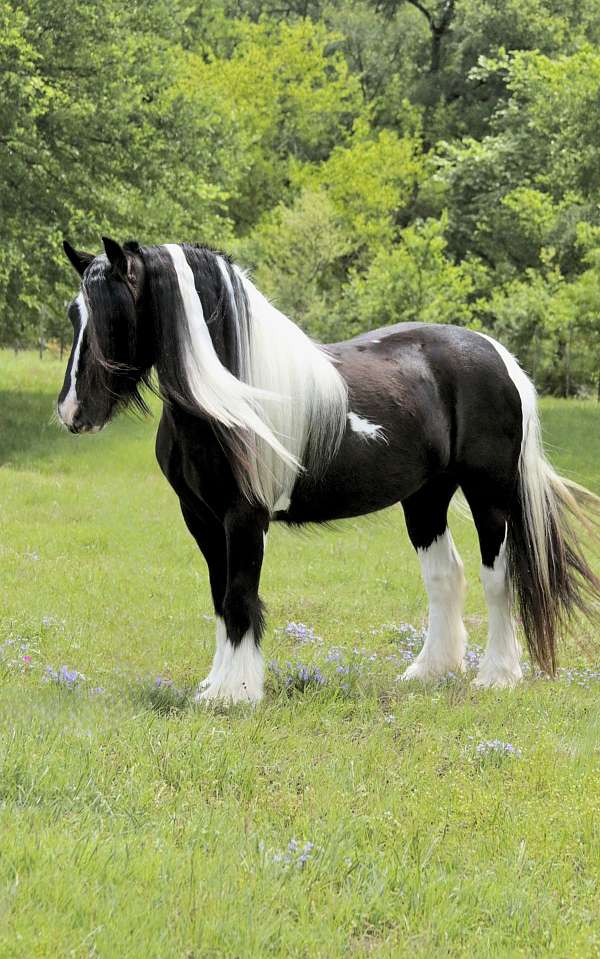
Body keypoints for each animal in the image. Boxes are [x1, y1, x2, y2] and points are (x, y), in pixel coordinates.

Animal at [57, 236, 600, 703]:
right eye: (73, 313)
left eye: (116, 316)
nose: (72, 412)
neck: (230, 399)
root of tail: (497, 355)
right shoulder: (202, 519)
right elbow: (220, 597)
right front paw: (216, 686)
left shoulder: (245, 518)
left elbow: (240, 598)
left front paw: (236, 694)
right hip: (426, 498)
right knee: (445, 576)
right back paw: (429, 671)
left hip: (489, 497)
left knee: (497, 577)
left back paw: (497, 677)